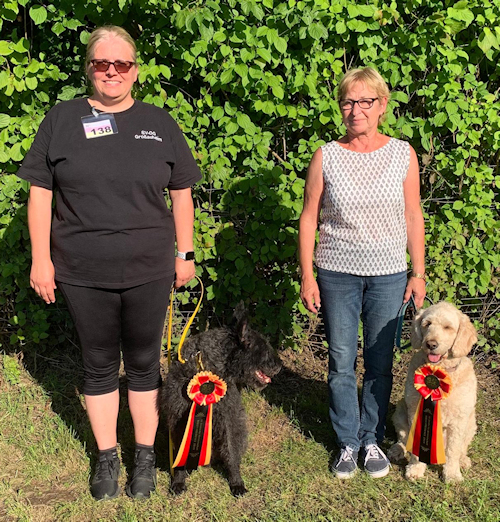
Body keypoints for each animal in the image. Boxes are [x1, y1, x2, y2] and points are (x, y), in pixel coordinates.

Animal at [163, 302, 284, 494]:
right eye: (264, 349)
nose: (280, 365)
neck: (209, 364)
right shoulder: (179, 420)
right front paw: (179, 481)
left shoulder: (229, 419)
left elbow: (232, 453)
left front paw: (236, 482)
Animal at [388, 302, 478, 482]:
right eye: (427, 324)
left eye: (447, 327)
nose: (431, 344)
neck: (439, 372)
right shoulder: (416, 412)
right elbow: (415, 445)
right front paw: (415, 468)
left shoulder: (459, 420)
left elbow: (453, 450)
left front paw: (452, 474)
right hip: (400, 411)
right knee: (403, 438)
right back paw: (397, 450)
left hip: (471, 422)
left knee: (462, 447)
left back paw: (463, 460)